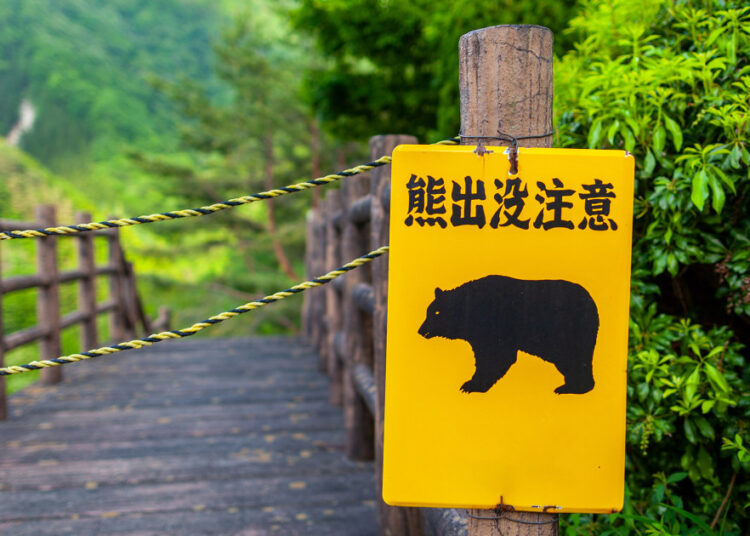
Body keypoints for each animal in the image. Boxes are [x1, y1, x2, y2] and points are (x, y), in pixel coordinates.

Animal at [418, 275, 599, 395]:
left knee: (573, 359)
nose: (420, 330)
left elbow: (495, 356)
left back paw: (572, 388)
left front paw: (471, 385)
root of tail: (591, 301)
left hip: (566, 333)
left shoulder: (493, 327)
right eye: (428, 311)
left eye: (436, 312)